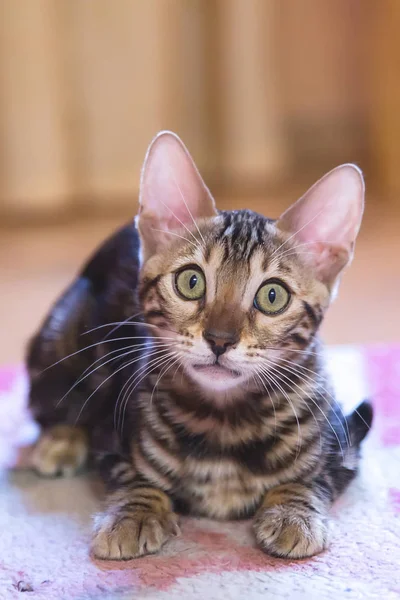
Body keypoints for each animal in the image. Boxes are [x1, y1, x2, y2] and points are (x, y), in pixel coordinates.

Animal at [27, 131, 372, 564]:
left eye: (272, 296)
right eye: (191, 282)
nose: (220, 339)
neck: (224, 421)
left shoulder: (343, 450)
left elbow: (311, 479)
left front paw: (294, 513)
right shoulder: (112, 436)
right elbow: (133, 476)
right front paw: (134, 514)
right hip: (61, 335)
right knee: (53, 402)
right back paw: (60, 442)